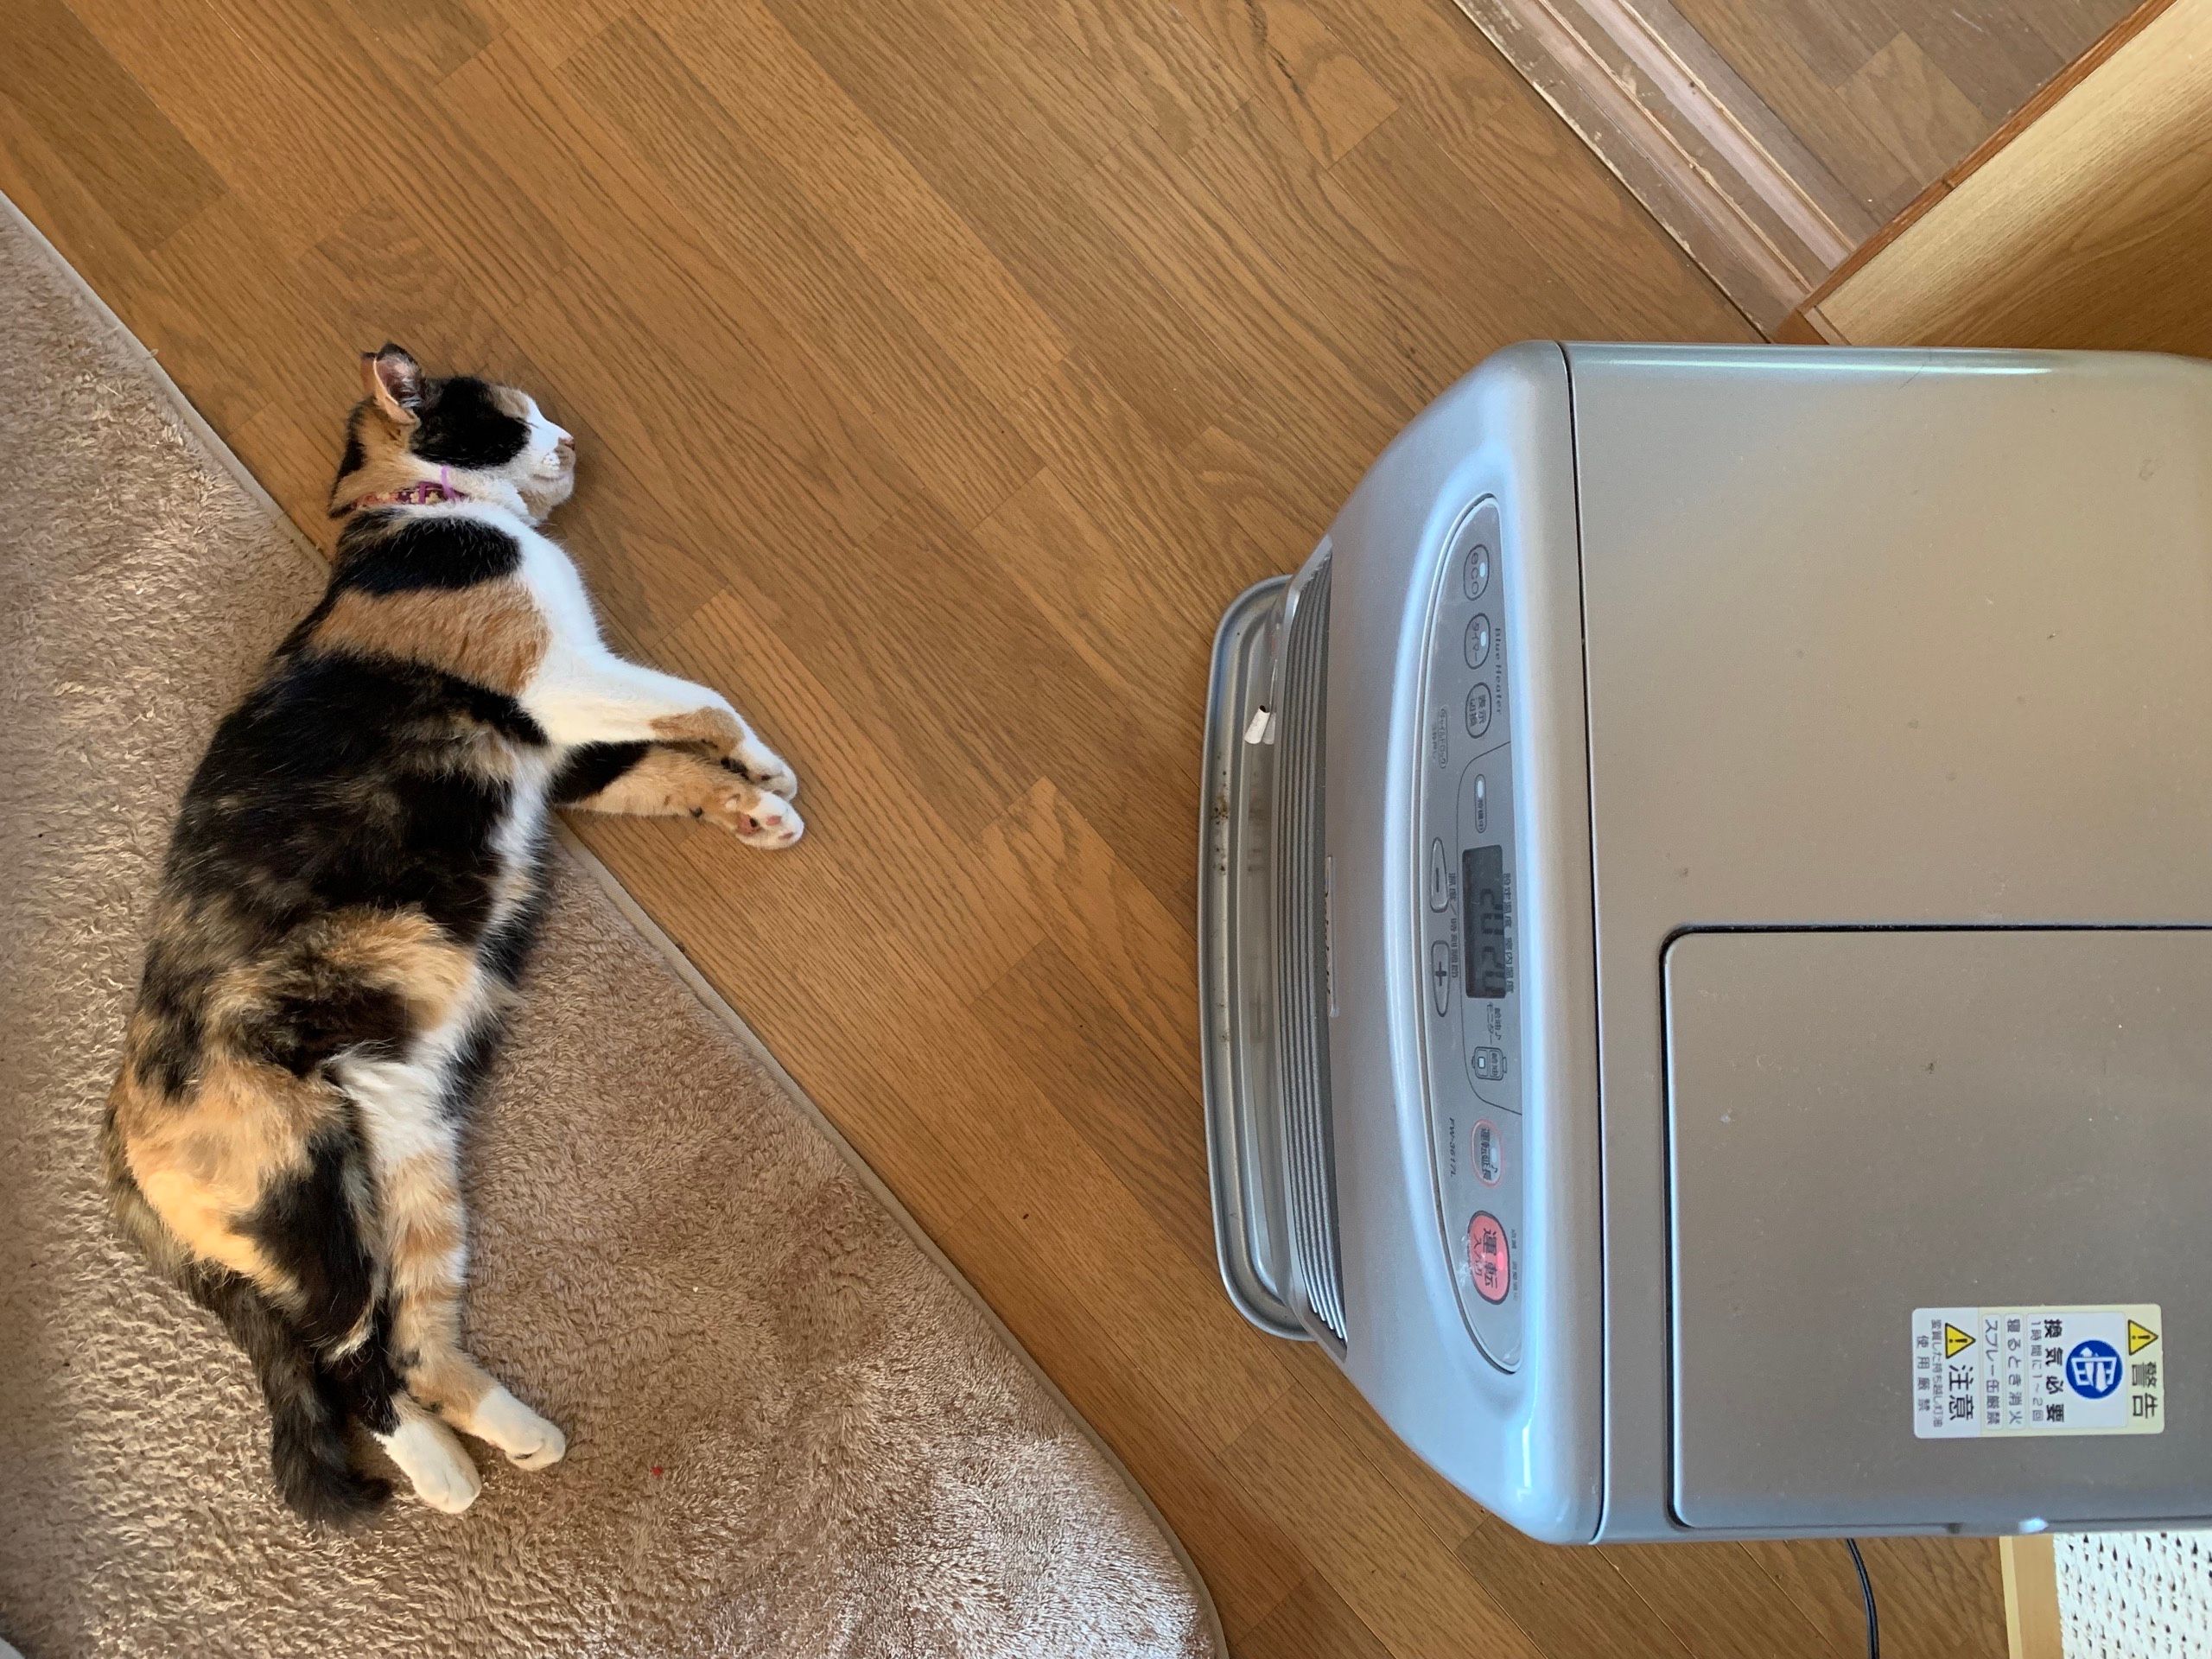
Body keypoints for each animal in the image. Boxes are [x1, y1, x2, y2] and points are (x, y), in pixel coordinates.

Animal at [105, 345, 804, 1530]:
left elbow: (665, 764)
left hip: (410, 1164)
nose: (570, 441)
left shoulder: (571, 755)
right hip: (307, 1201)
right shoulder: (559, 681)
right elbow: (697, 700)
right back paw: (444, 1479)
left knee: (414, 1346)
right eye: (516, 417)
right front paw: (767, 764)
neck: (415, 518)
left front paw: (755, 807)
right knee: (346, 1358)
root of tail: (115, 1130)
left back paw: (519, 1440)